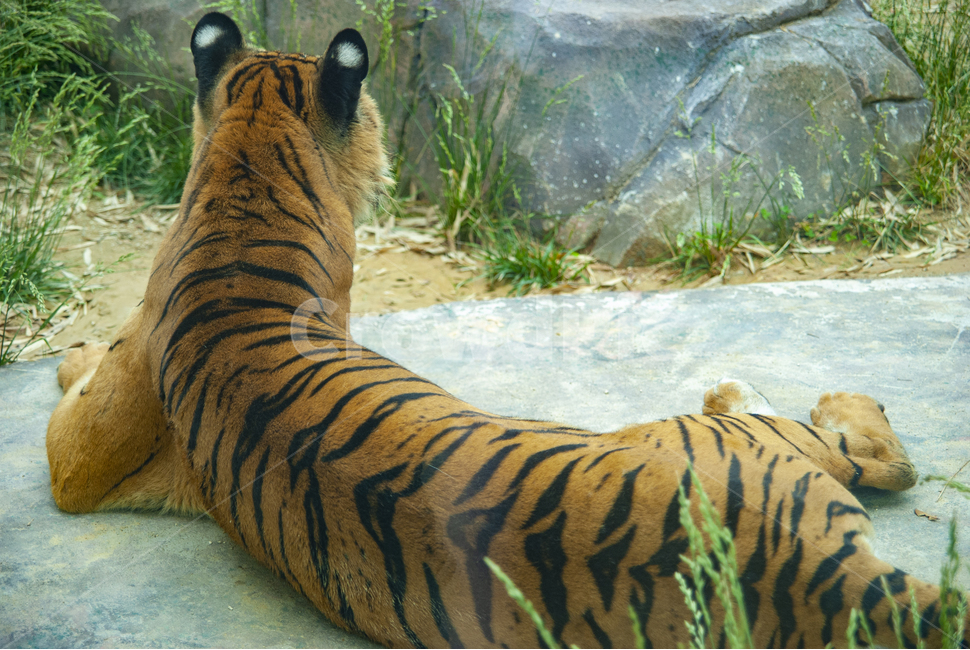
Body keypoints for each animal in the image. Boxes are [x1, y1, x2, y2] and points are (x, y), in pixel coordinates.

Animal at [45, 11, 968, 649]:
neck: (243, 197)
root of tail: (810, 573)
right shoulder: (82, 465)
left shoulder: (82, 461)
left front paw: (73, 350)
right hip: (714, 440)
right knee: (868, 452)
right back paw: (762, 390)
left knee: (880, 458)